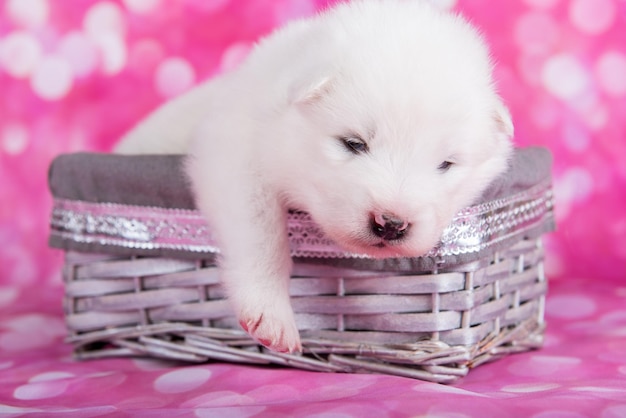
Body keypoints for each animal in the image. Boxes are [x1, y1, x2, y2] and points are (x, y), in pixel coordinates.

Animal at [116, 0, 512, 352]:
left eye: (445, 164)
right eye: (353, 143)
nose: (390, 224)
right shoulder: (234, 156)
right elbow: (261, 234)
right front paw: (271, 316)